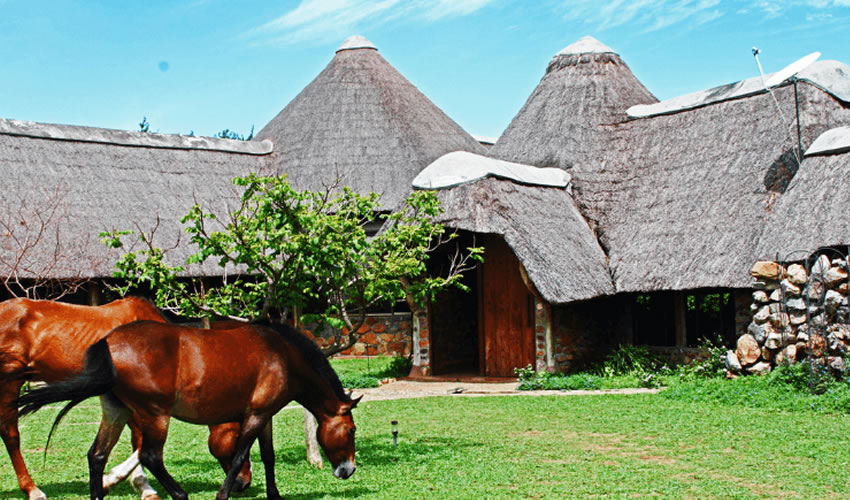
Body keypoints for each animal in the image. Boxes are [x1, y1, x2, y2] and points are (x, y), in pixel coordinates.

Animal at [0, 298, 250, 500]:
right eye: (238, 436)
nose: (244, 482)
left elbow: (133, 441)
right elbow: (139, 444)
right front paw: (129, 484)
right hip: (10, 381)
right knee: (11, 434)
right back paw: (33, 490)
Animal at [19, 320, 358, 500]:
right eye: (352, 430)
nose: (349, 470)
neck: (282, 354)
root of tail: (109, 343)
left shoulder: (265, 417)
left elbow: (268, 456)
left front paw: (273, 495)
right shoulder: (255, 416)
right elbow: (239, 457)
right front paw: (223, 494)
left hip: (117, 412)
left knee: (97, 455)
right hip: (155, 416)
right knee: (150, 457)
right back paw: (180, 494)